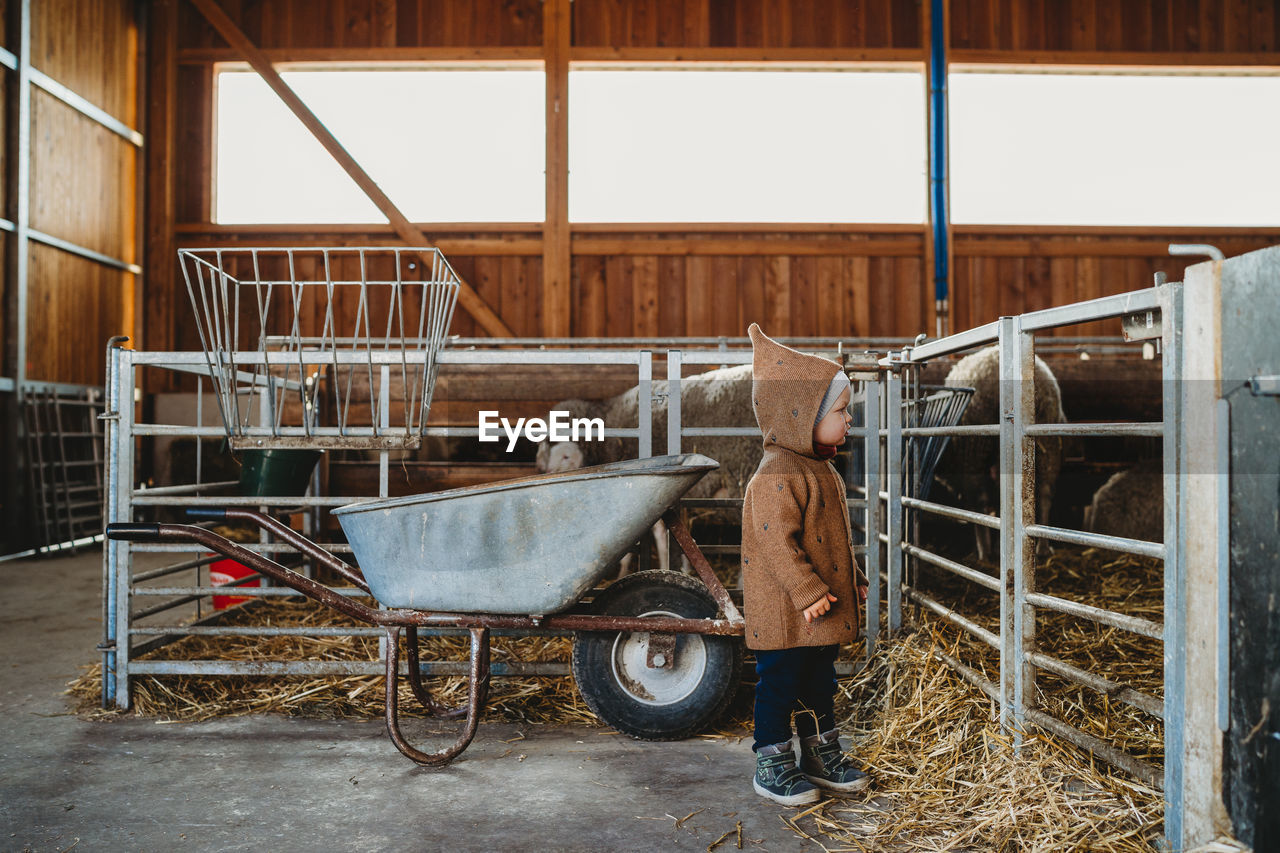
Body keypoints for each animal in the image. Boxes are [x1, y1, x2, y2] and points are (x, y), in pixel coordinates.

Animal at [931, 343, 1070, 560]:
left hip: (976, 449)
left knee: (980, 500)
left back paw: (985, 551)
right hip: (1049, 444)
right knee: (1046, 492)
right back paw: (1043, 547)